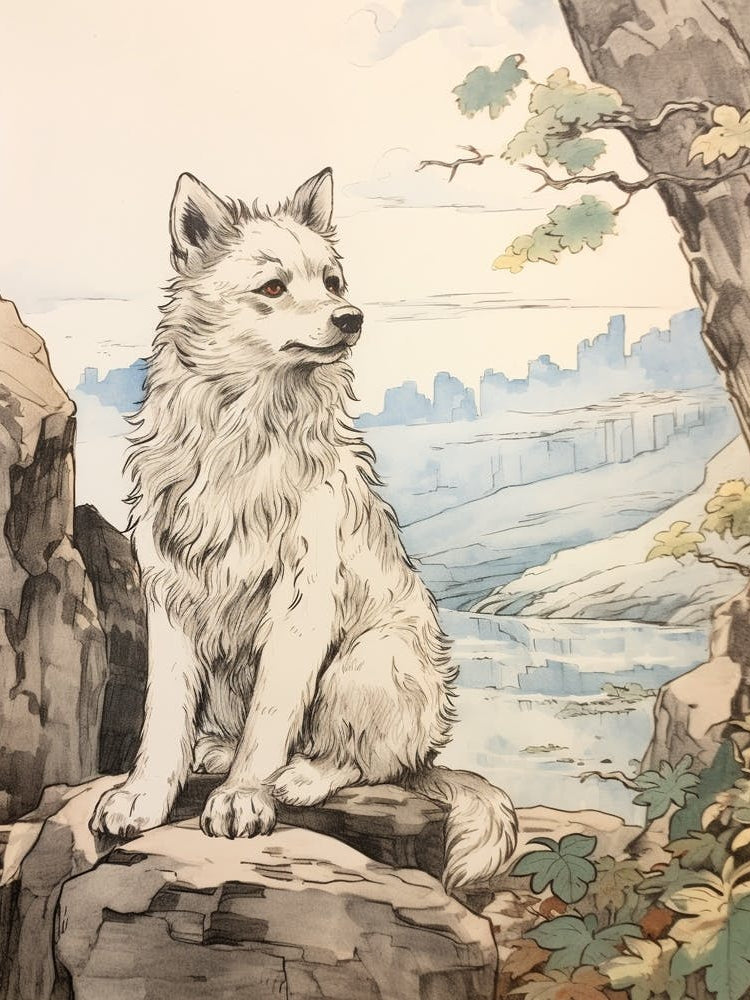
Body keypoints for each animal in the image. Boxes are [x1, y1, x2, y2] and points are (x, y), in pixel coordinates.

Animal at [91, 167, 518, 891]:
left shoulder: (300, 605)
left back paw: (299, 777)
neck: (243, 435)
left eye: (334, 281)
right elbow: (164, 720)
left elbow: (272, 717)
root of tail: (430, 755)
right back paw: (215, 751)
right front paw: (143, 798)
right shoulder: (171, 602)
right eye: (272, 287)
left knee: (363, 759)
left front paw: (244, 798)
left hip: (370, 662)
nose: (352, 318)